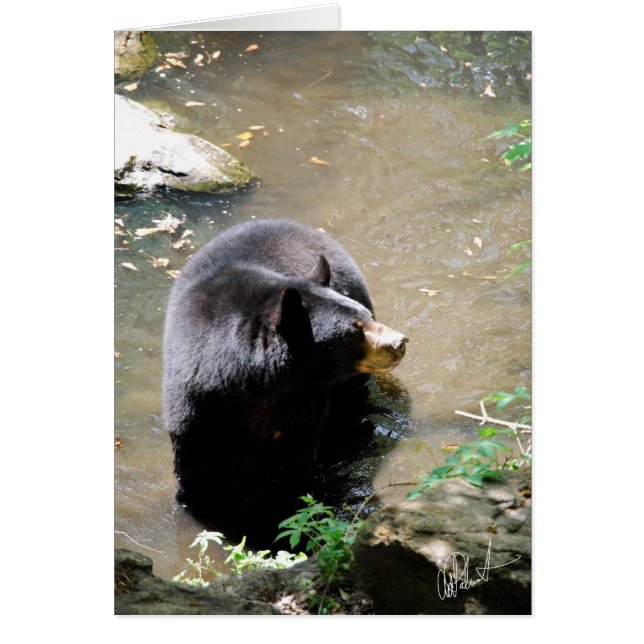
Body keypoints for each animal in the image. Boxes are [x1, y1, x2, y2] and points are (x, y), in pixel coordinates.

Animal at [163, 219, 408, 536]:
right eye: (355, 328)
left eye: (367, 316)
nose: (399, 342)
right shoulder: (196, 405)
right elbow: (198, 469)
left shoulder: (301, 399)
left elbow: (294, 458)